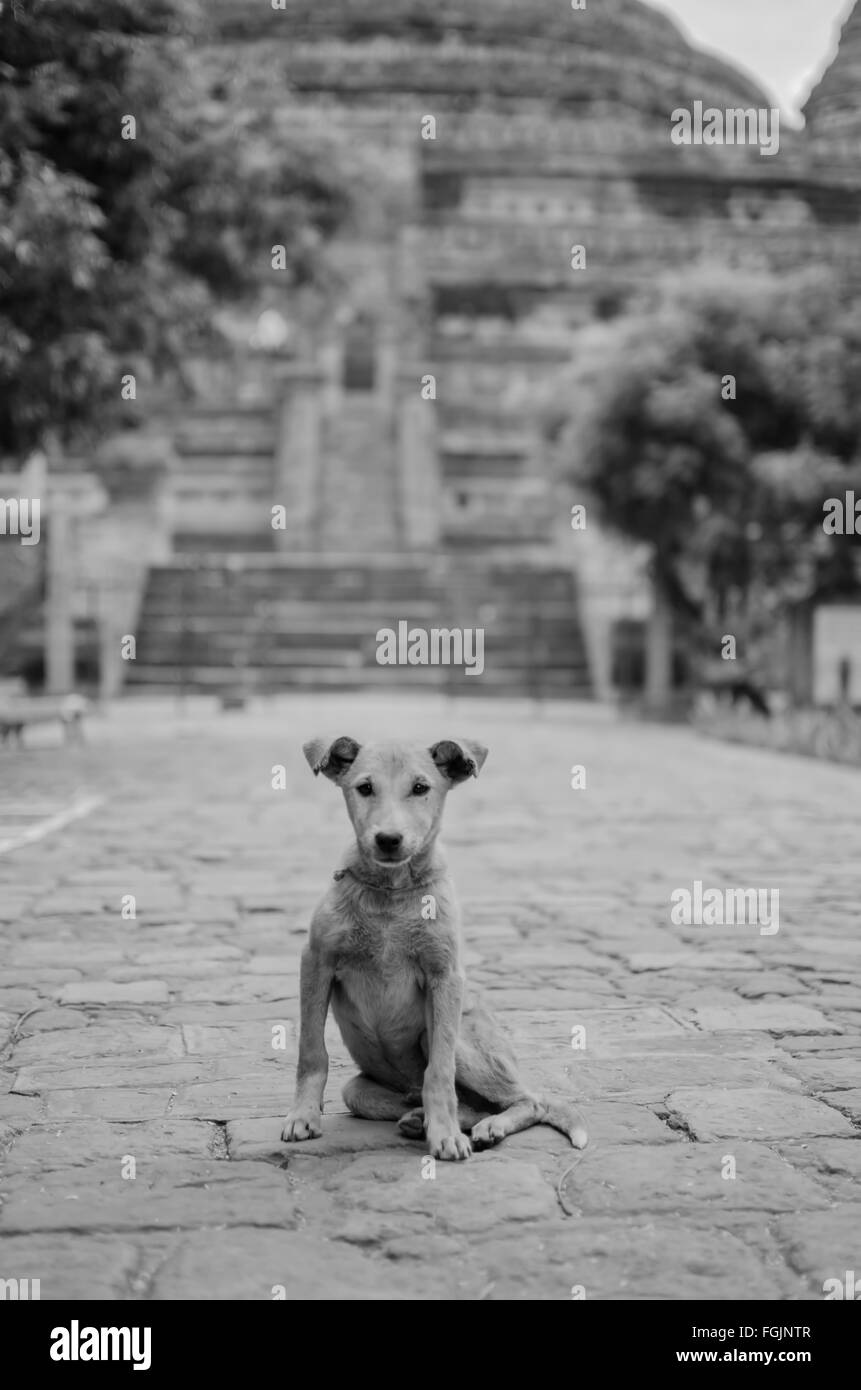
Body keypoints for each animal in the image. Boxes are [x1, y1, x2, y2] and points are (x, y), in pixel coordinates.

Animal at [280, 739, 586, 1162]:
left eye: (421, 788)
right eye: (364, 788)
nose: (388, 839)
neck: (391, 891)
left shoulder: (445, 977)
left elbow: (438, 1072)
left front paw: (444, 1136)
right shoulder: (316, 962)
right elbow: (312, 1052)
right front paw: (303, 1116)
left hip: (459, 1042)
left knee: (529, 1100)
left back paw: (479, 1127)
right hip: (361, 1090)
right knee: (462, 1102)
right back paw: (421, 1119)